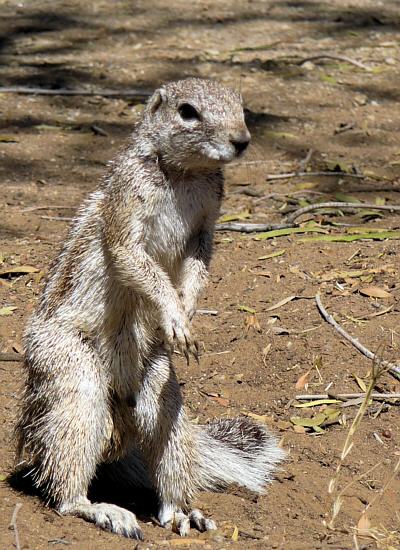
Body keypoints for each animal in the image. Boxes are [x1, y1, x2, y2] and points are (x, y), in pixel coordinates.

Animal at [15, 78, 284, 544]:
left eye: (241, 105)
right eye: (188, 111)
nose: (242, 140)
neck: (185, 173)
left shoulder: (207, 223)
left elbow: (199, 263)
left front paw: (186, 313)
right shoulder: (127, 202)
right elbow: (133, 259)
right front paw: (174, 315)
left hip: (161, 385)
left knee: (165, 451)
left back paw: (182, 513)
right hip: (71, 376)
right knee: (63, 481)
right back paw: (100, 509)